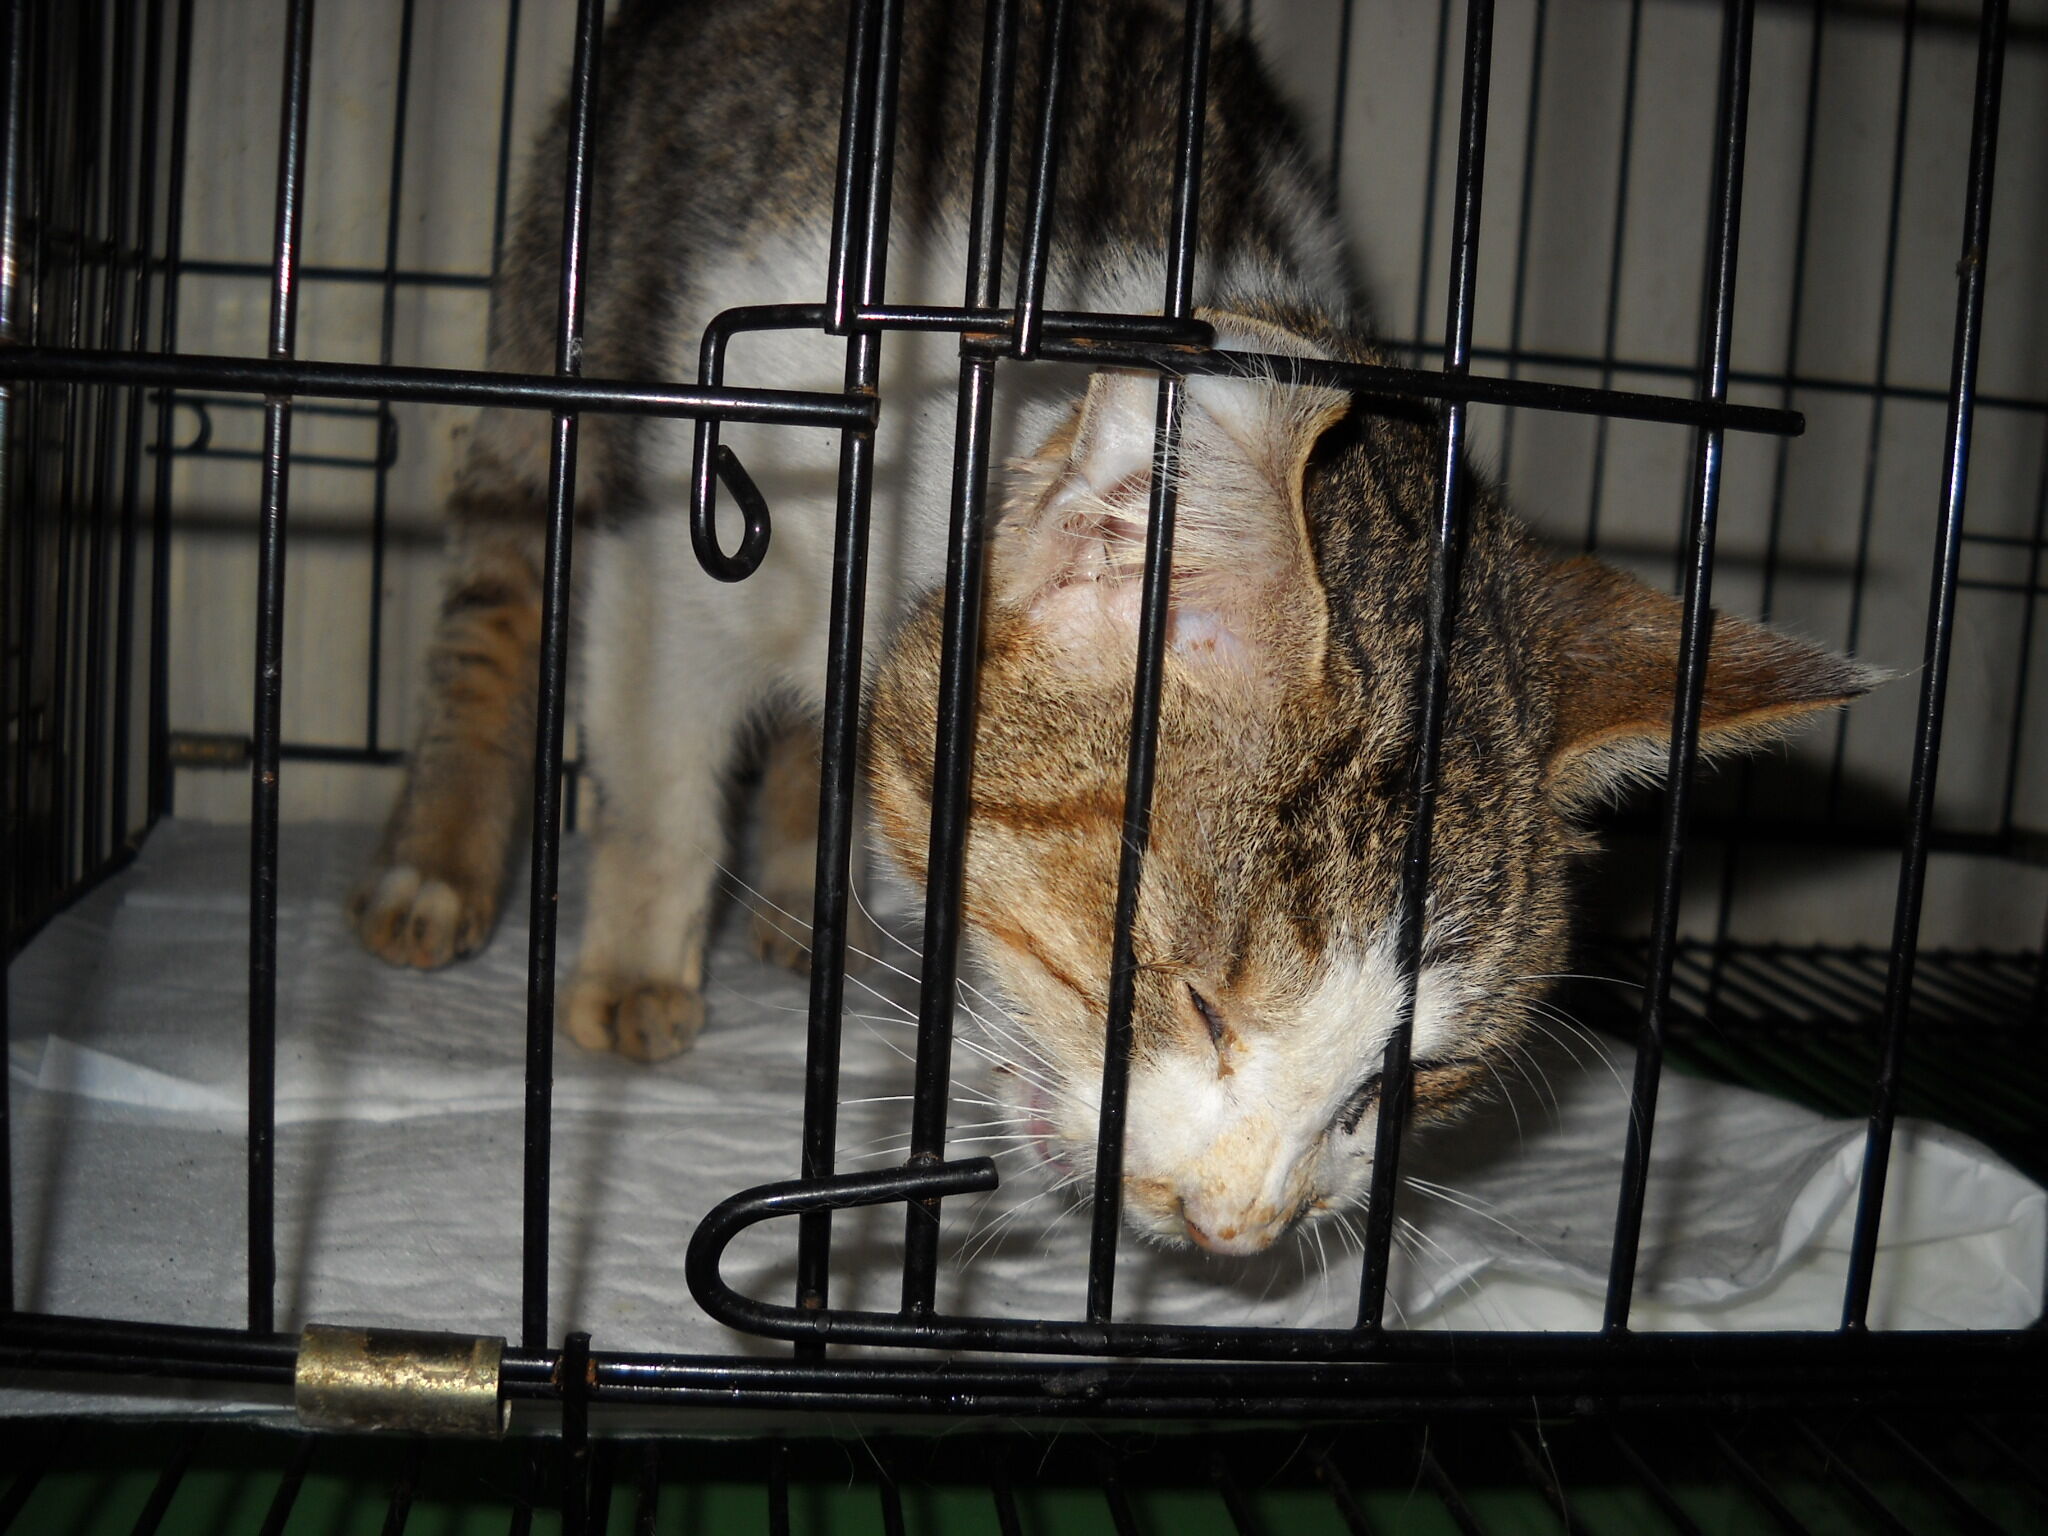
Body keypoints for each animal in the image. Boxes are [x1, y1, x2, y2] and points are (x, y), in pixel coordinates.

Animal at [353, 0, 1868, 1257]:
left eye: (1416, 1078)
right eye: (1193, 999)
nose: (1232, 1229)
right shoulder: (703, 502)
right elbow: (661, 757)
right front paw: (633, 962)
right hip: (579, 279)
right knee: (500, 583)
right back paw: (438, 867)